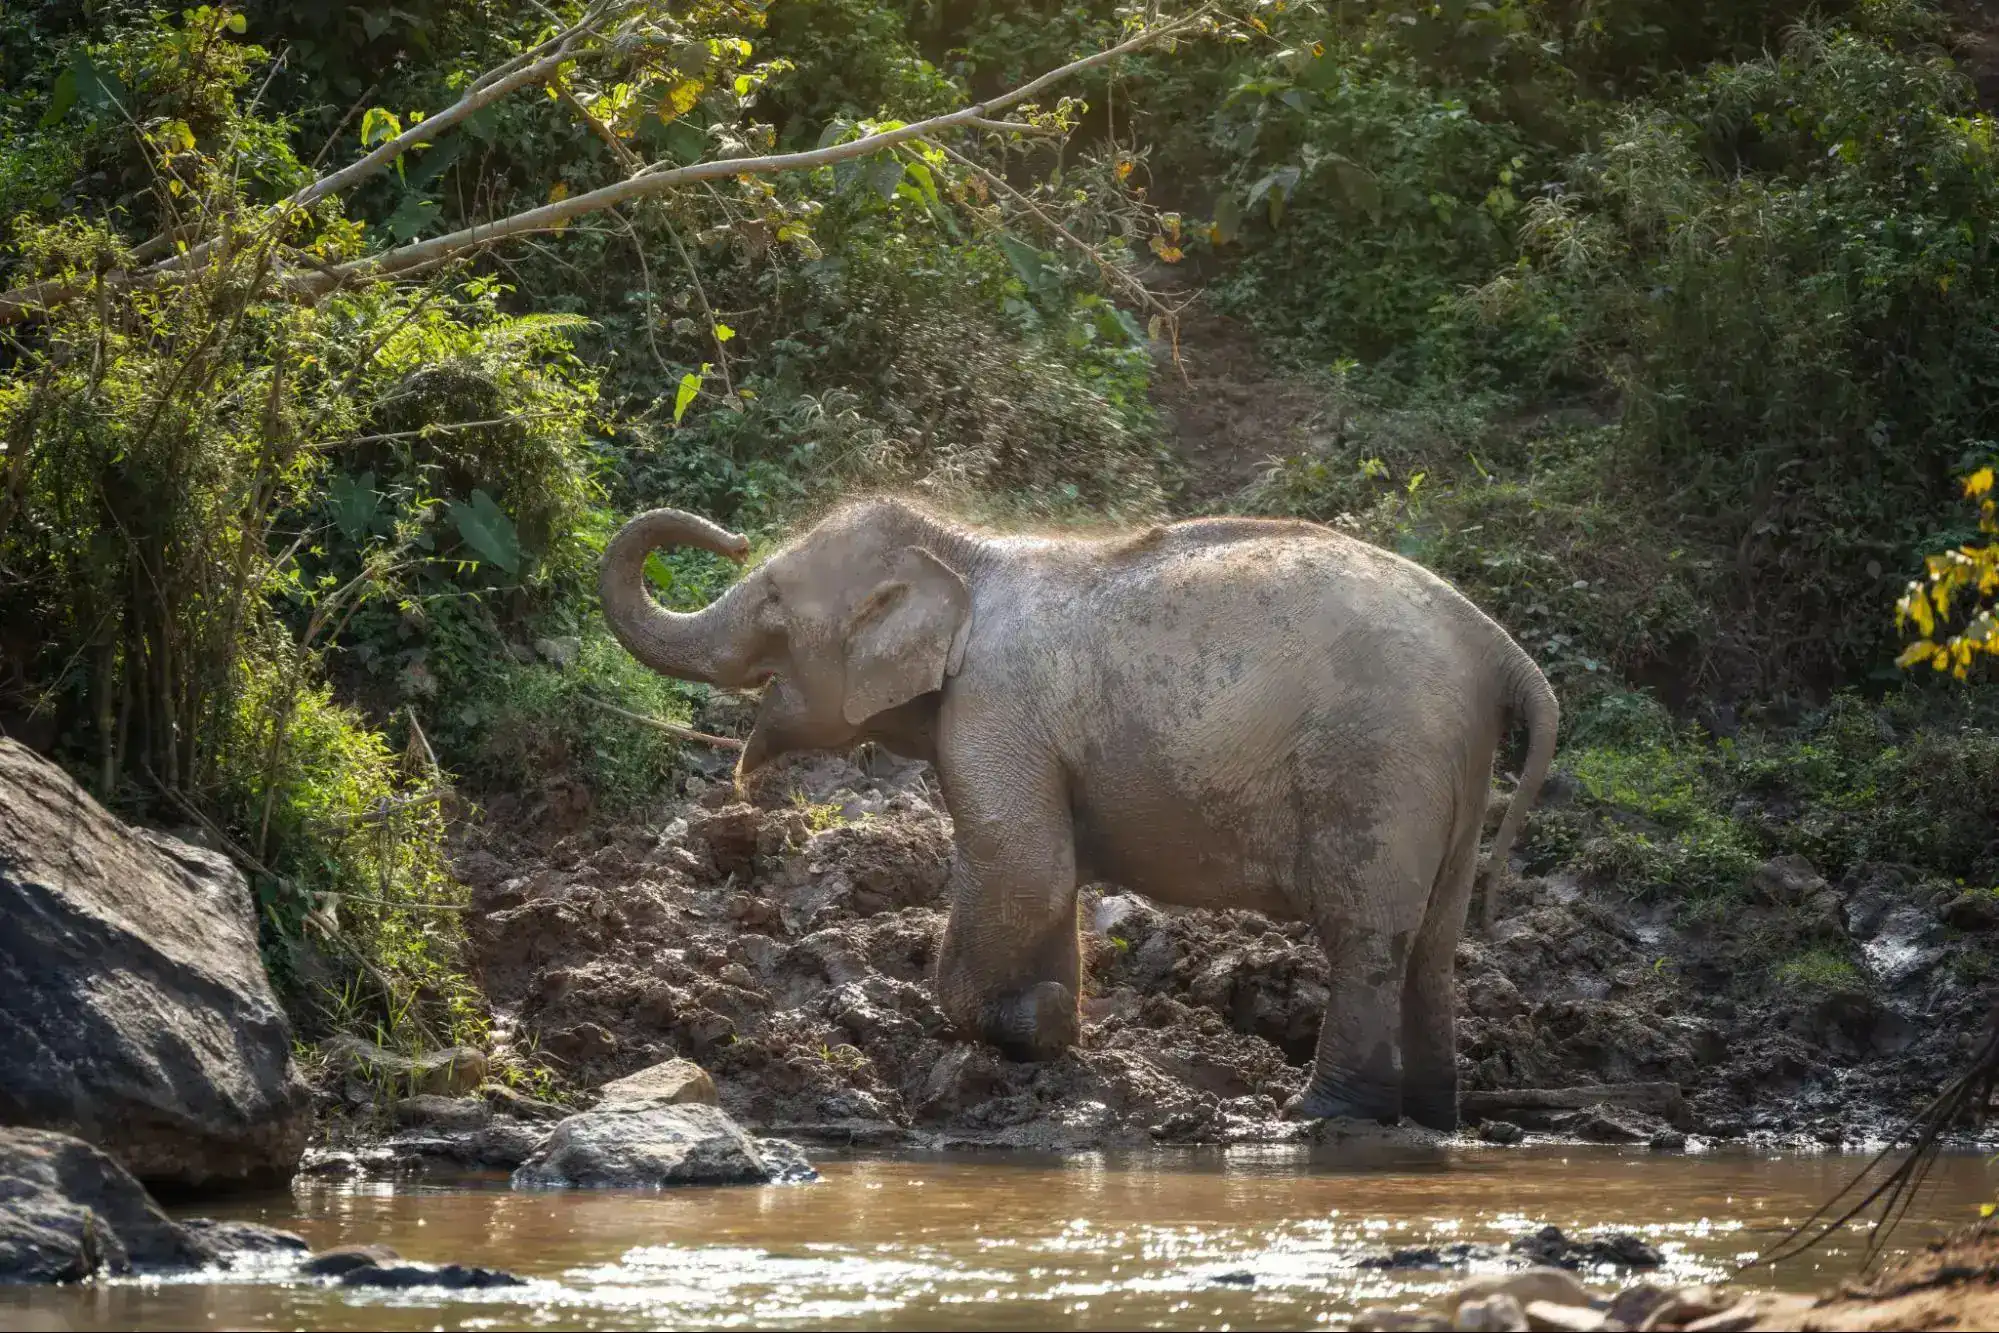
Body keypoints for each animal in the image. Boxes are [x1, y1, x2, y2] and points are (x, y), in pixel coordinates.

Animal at [599, 497, 1558, 1129]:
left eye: (768, 601)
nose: (729, 532)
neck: (965, 550)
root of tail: (1496, 646)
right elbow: (1045, 879)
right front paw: (1055, 1020)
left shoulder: (993, 706)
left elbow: (1023, 864)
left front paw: (1036, 1022)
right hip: (1449, 766)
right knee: (1433, 942)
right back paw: (1430, 1119)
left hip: (1379, 758)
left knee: (1368, 937)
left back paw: (1320, 1118)